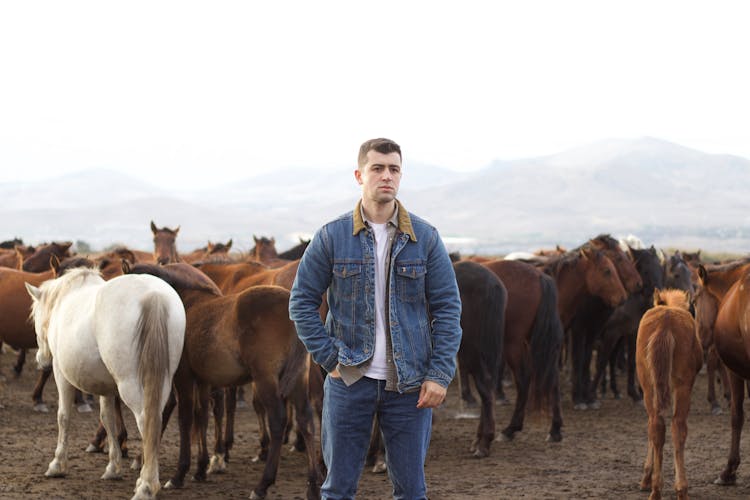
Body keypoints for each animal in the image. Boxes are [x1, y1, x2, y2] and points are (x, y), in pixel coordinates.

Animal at [26, 268, 187, 498]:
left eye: (35, 318)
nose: (41, 359)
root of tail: (153, 296)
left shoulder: (61, 374)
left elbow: (63, 417)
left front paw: (57, 465)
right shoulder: (106, 387)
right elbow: (107, 418)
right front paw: (113, 468)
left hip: (130, 385)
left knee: (147, 422)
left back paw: (146, 485)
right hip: (160, 381)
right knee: (155, 418)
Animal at [636, 288, 704, 498]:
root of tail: (665, 322)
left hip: (650, 386)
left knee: (657, 425)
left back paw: (657, 489)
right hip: (682, 386)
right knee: (677, 427)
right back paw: (680, 489)